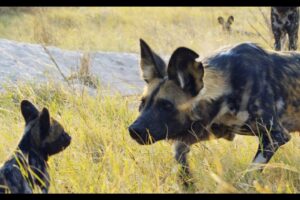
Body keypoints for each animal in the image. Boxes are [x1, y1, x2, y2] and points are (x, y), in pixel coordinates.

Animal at [129, 39, 300, 186]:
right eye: (142, 103)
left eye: (166, 105)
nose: (134, 130)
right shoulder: (209, 130)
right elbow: (179, 155)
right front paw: (188, 184)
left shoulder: (274, 136)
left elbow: (248, 174)